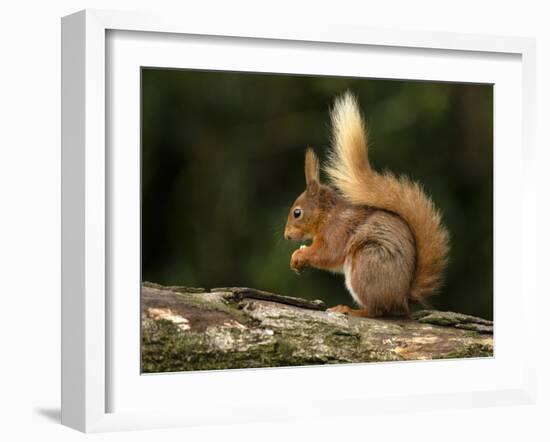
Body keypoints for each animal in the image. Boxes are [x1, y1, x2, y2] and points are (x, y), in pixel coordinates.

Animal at [286, 92, 450, 318]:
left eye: (297, 213)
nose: (286, 236)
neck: (327, 215)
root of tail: (401, 300)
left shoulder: (338, 231)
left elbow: (327, 254)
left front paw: (299, 254)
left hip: (365, 264)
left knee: (376, 311)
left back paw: (350, 310)